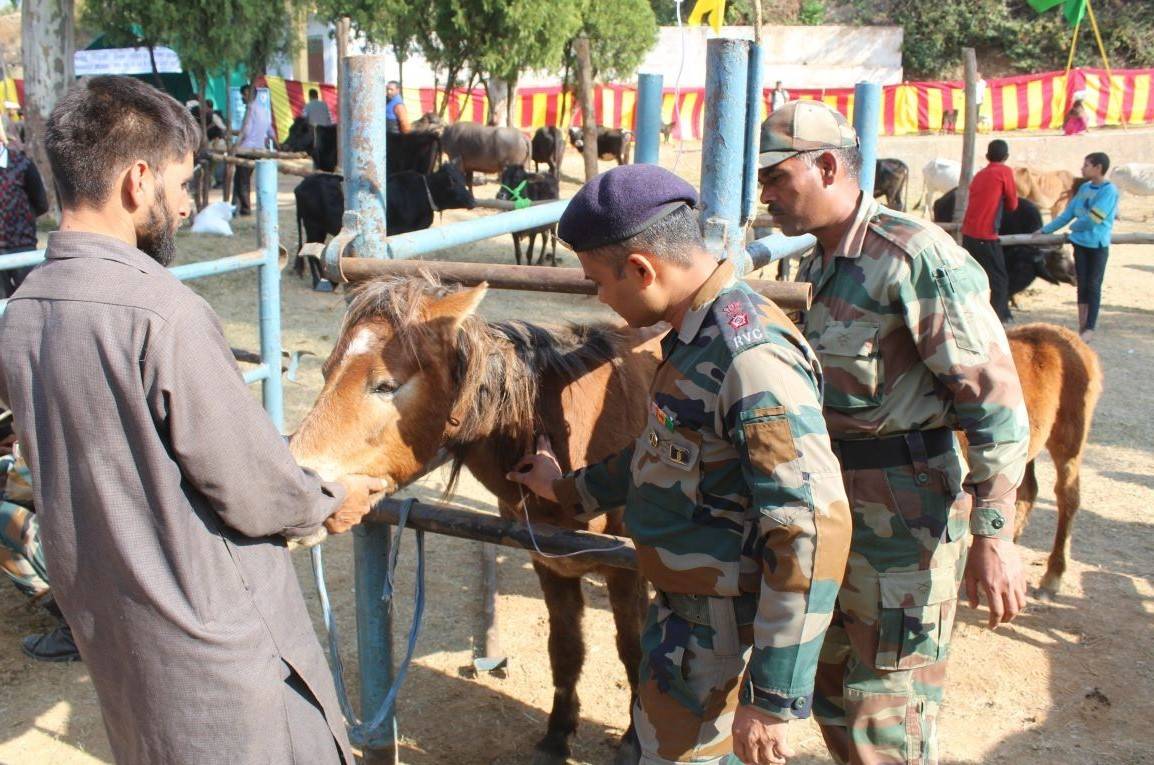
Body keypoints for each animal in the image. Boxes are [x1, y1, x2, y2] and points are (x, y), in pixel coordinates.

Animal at [290, 273, 660, 761]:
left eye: (385, 385)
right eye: (326, 373)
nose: (296, 476)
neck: (570, 440)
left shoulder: (626, 574)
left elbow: (633, 653)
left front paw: (634, 740)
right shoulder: (551, 565)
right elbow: (565, 649)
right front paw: (558, 733)